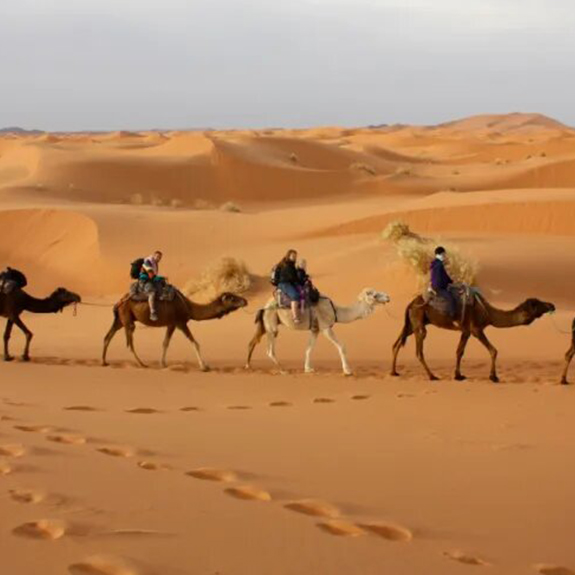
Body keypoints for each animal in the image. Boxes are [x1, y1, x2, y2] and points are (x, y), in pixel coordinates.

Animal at [102, 290, 246, 372]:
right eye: (232, 298)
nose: (245, 301)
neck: (189, 307)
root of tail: (119, 302)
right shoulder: (180, 322)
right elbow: (195, 343)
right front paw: (204, 366)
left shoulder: (171, 324)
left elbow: (165, 343)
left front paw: (163, 364)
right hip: (127, 318)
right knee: (129, 342)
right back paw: (142, 364)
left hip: (120, 319)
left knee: (108, 336)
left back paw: (104, 362)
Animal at [245, 288, 390, 378]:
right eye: (375, 295)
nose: (388, 297)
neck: (336, 310)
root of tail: (264, 307)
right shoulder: (325, 327)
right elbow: (341, 346)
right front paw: (347, 371)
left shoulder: (315, 329)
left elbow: (309, 349)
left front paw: (308, 369)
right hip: (271, 325)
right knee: (270, 350)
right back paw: (283, 370)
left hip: (265, 324)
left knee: (252, 342)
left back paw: (248, 366)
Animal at [390, 294, 556, 384]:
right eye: (538, 304)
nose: (552, 305)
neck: (488, 313)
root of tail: (410, 303)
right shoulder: (476, 329)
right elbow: (493, 350)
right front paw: (494, 377)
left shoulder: (466, 331)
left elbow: (459, 351)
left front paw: (458, 376)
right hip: (419, 321)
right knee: (419, 349)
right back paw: (432, 376)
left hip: (412, 322)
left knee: (396, 344)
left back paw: (394, 372)